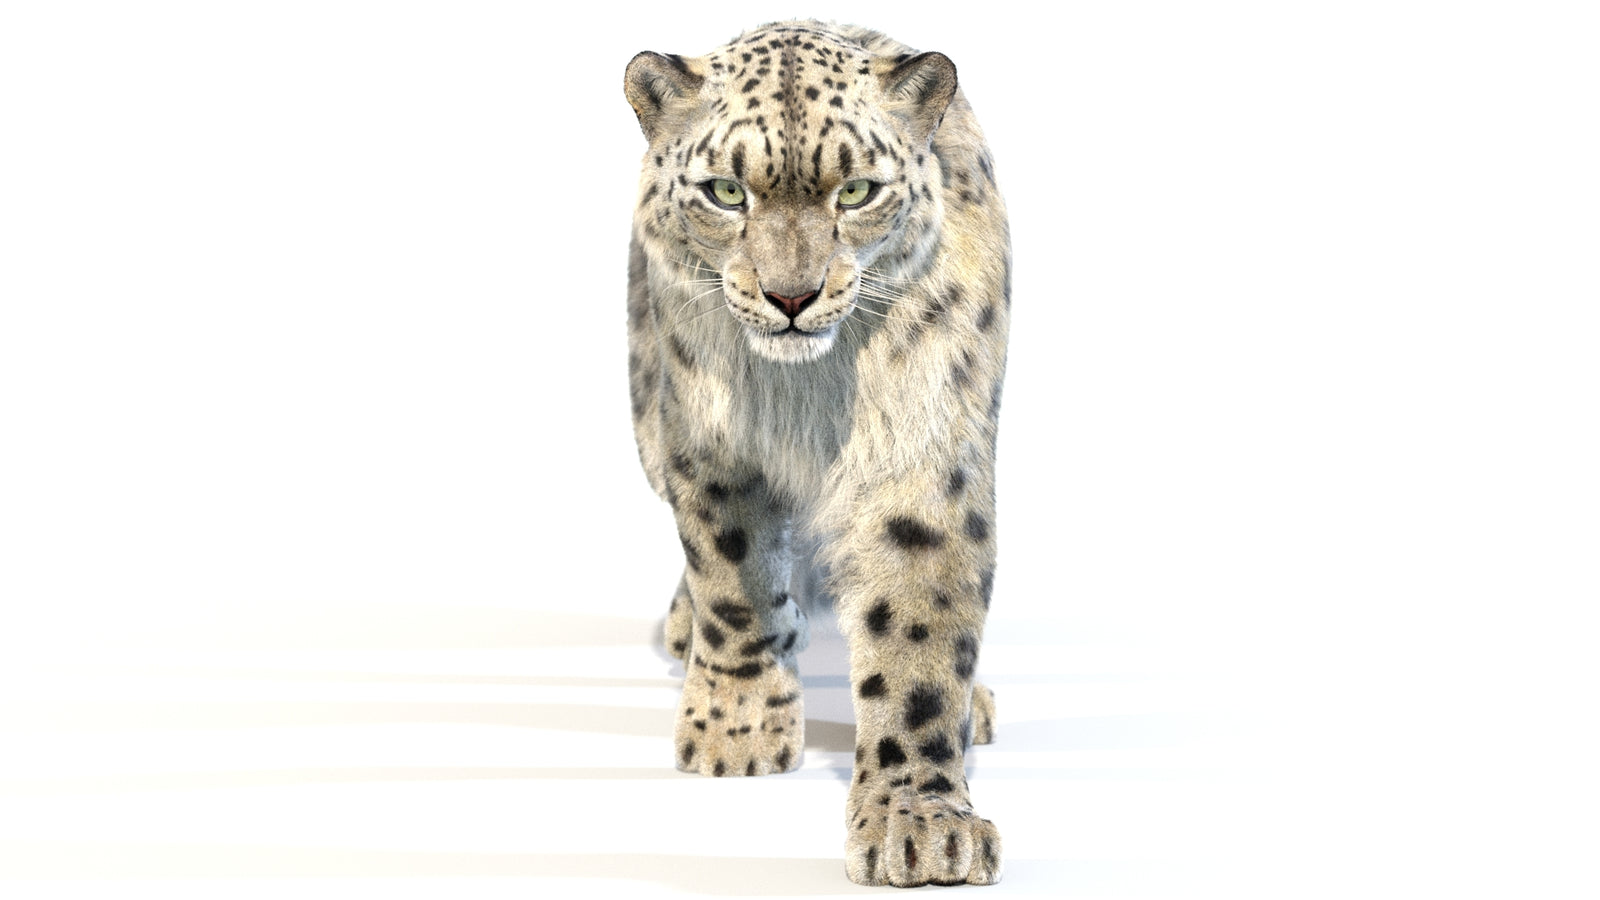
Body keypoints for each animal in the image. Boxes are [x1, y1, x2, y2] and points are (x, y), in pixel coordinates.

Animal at [623, 20, 1011, 887]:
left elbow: (918, 641)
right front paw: (735, 731)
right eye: (726, 192)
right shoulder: (709, 446)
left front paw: (921, 825)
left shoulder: (921, 457)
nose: (791, 296)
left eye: (857, 191)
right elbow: (734, 585)